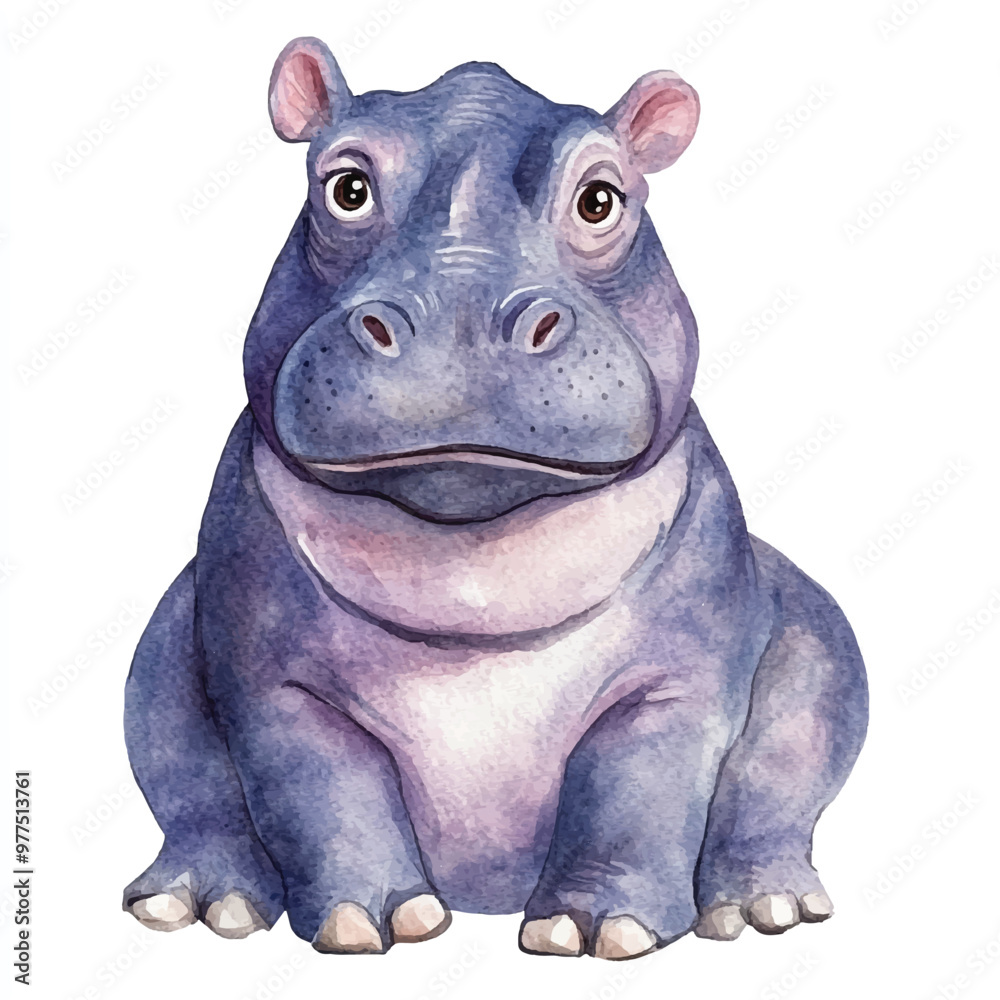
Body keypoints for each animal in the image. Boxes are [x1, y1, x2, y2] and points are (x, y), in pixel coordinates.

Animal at [122, 37, 868, 960]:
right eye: (345, 185)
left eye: (600, 197)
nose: (462, 317)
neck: (471, 552)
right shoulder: (274, 682)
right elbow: (322, 792)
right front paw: (366, 925)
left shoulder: (673, 685)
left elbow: (636, 794)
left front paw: (600, 931)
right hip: (162, 656)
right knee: (192, 790)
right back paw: (198, 904)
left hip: (816, 649)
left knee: (773, 789)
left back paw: (763, 909)